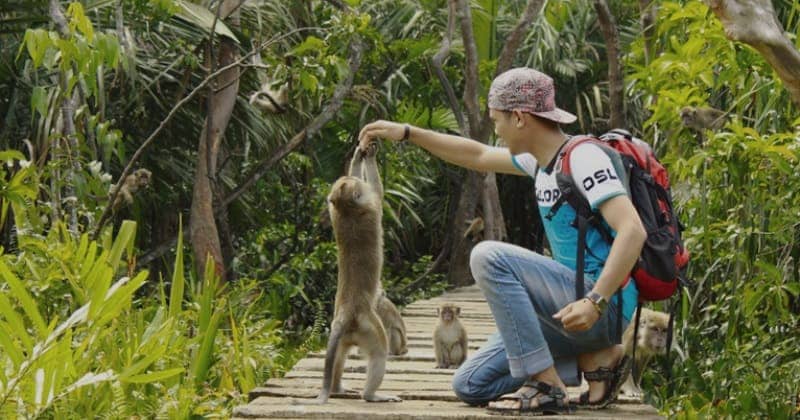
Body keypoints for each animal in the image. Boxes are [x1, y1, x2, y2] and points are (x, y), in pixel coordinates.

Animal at [312, 141, 400, 404]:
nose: (347, 177)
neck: (347, 209)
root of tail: (346, 314)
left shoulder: (334, 211)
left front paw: (359, 154)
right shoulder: (372, 204)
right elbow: (378, 191)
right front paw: (368, 155)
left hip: (343, 333)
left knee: (339, 354)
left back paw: (337, 387)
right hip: (368, 326)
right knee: (379, 352)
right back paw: (372, 395)